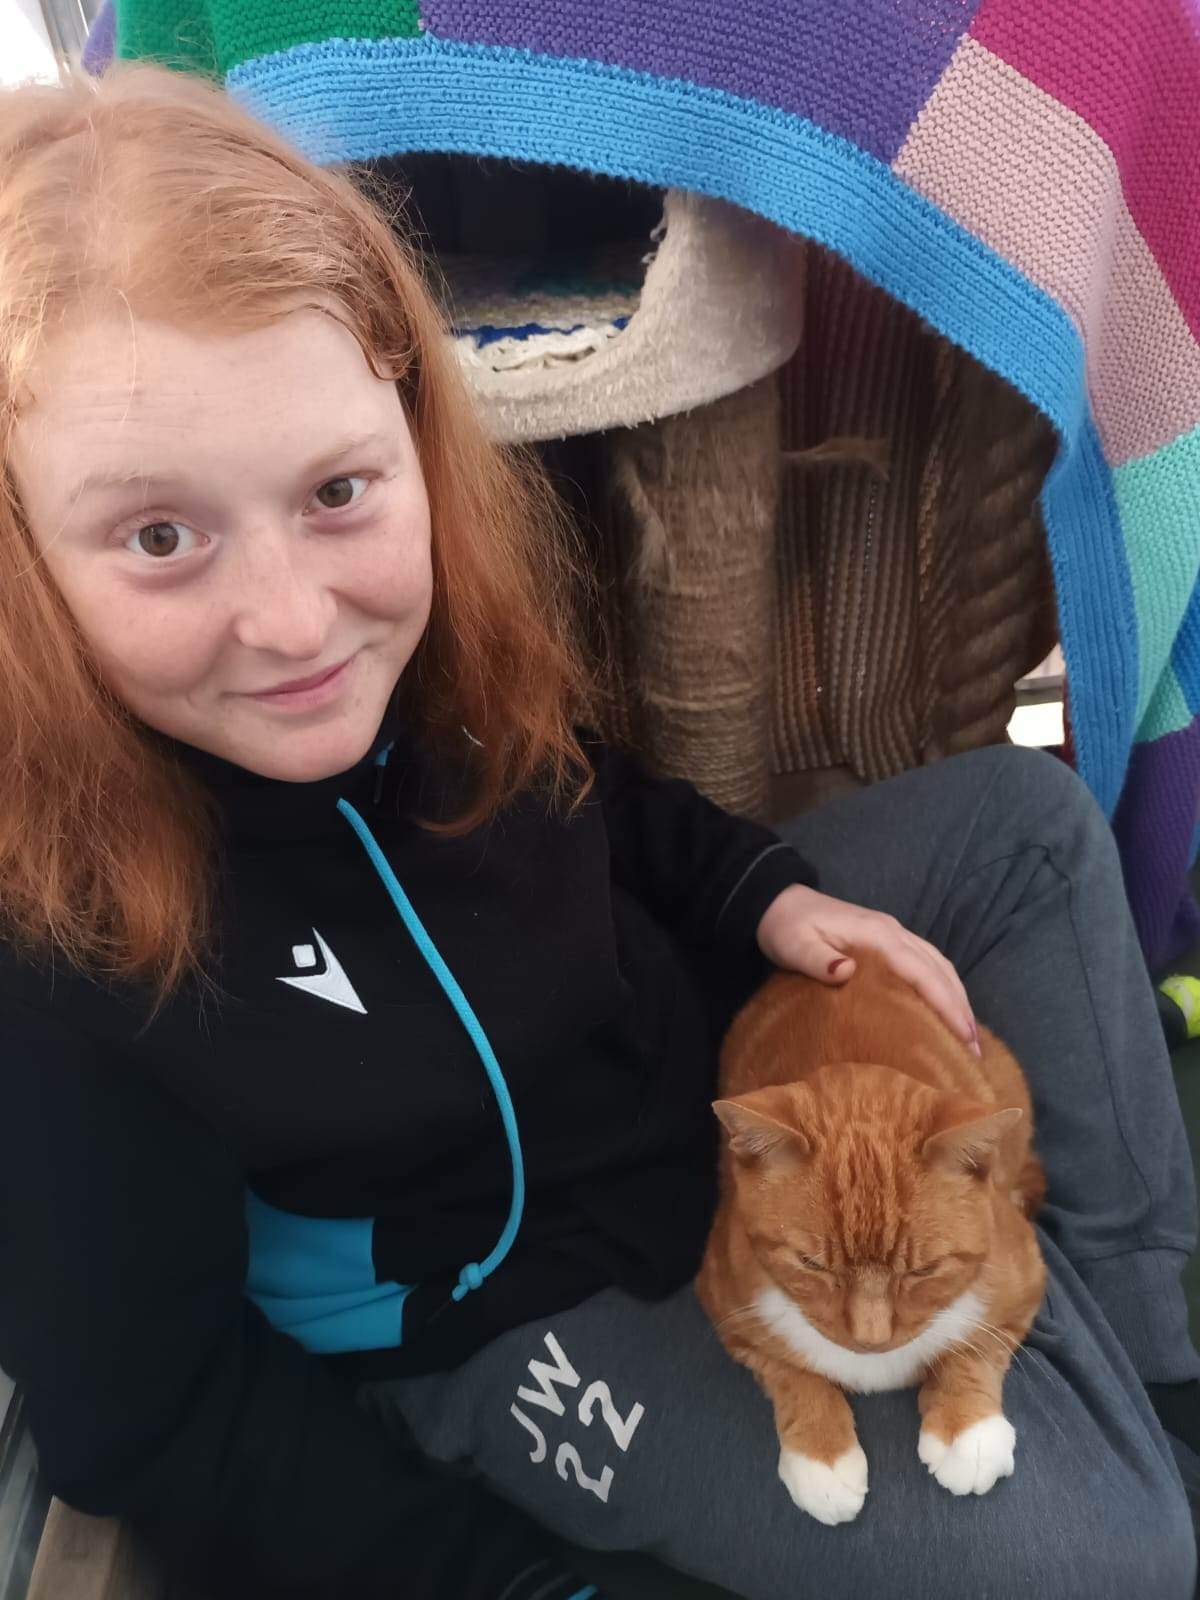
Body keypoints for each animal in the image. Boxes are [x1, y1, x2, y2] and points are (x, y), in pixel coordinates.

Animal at [700, 947, 1049, 1523]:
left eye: (924, 1270)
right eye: (812, 1265)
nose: (870, 1339)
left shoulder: (1022, 1279)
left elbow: (976, 1347)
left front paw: (968, 1432)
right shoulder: (727, 1306)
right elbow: (790, 1372)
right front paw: (822, 1456)